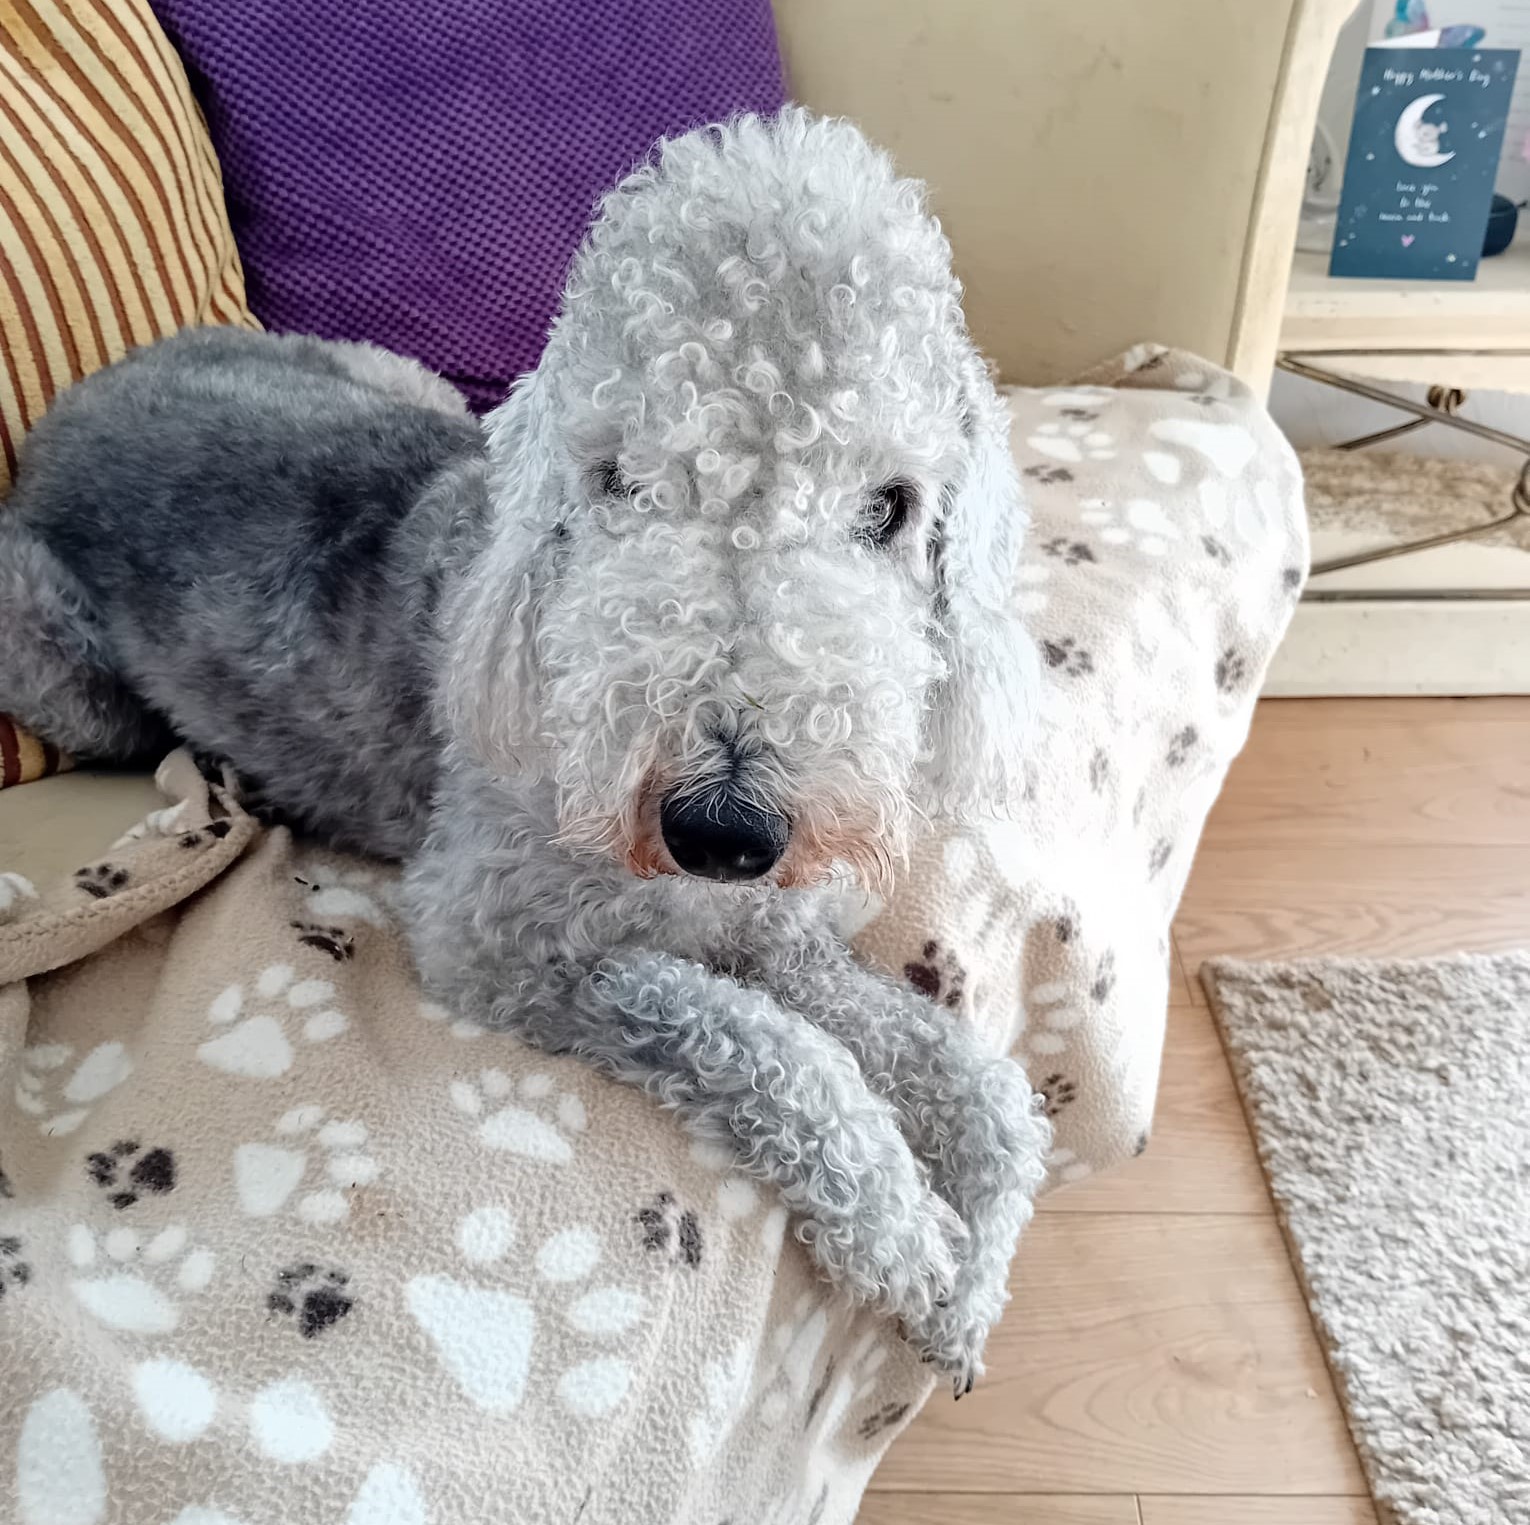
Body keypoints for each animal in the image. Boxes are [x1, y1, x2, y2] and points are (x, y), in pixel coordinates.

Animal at [0, 109, 1049, 1389]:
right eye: (620, 478)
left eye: (891, 504)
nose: (725, 828)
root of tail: (96, 386)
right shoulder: (496, 939)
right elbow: (774, 1048)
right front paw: (909, 1237)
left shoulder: (775, 933)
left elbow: (982, 1090)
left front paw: (971, 1285)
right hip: (53, 652)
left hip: (389, 373)